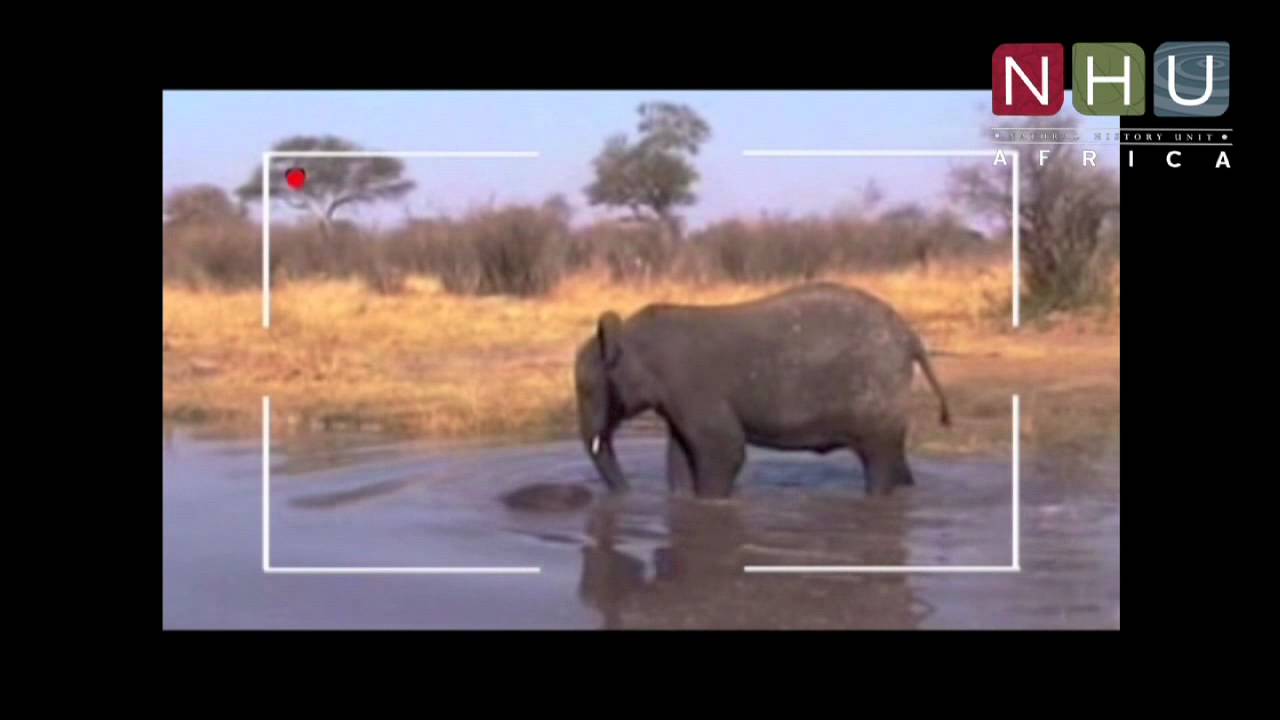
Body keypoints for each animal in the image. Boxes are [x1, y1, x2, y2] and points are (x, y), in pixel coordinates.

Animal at [573, 282, 951, 498]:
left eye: (588, 390)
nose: (627, 494)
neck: (629, 332)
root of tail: (911, 338)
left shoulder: (692, 386)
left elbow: (724, 450)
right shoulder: (676, 396)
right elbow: (680, 455)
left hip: (877, 390)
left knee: (879, 461)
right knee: (895, 459)